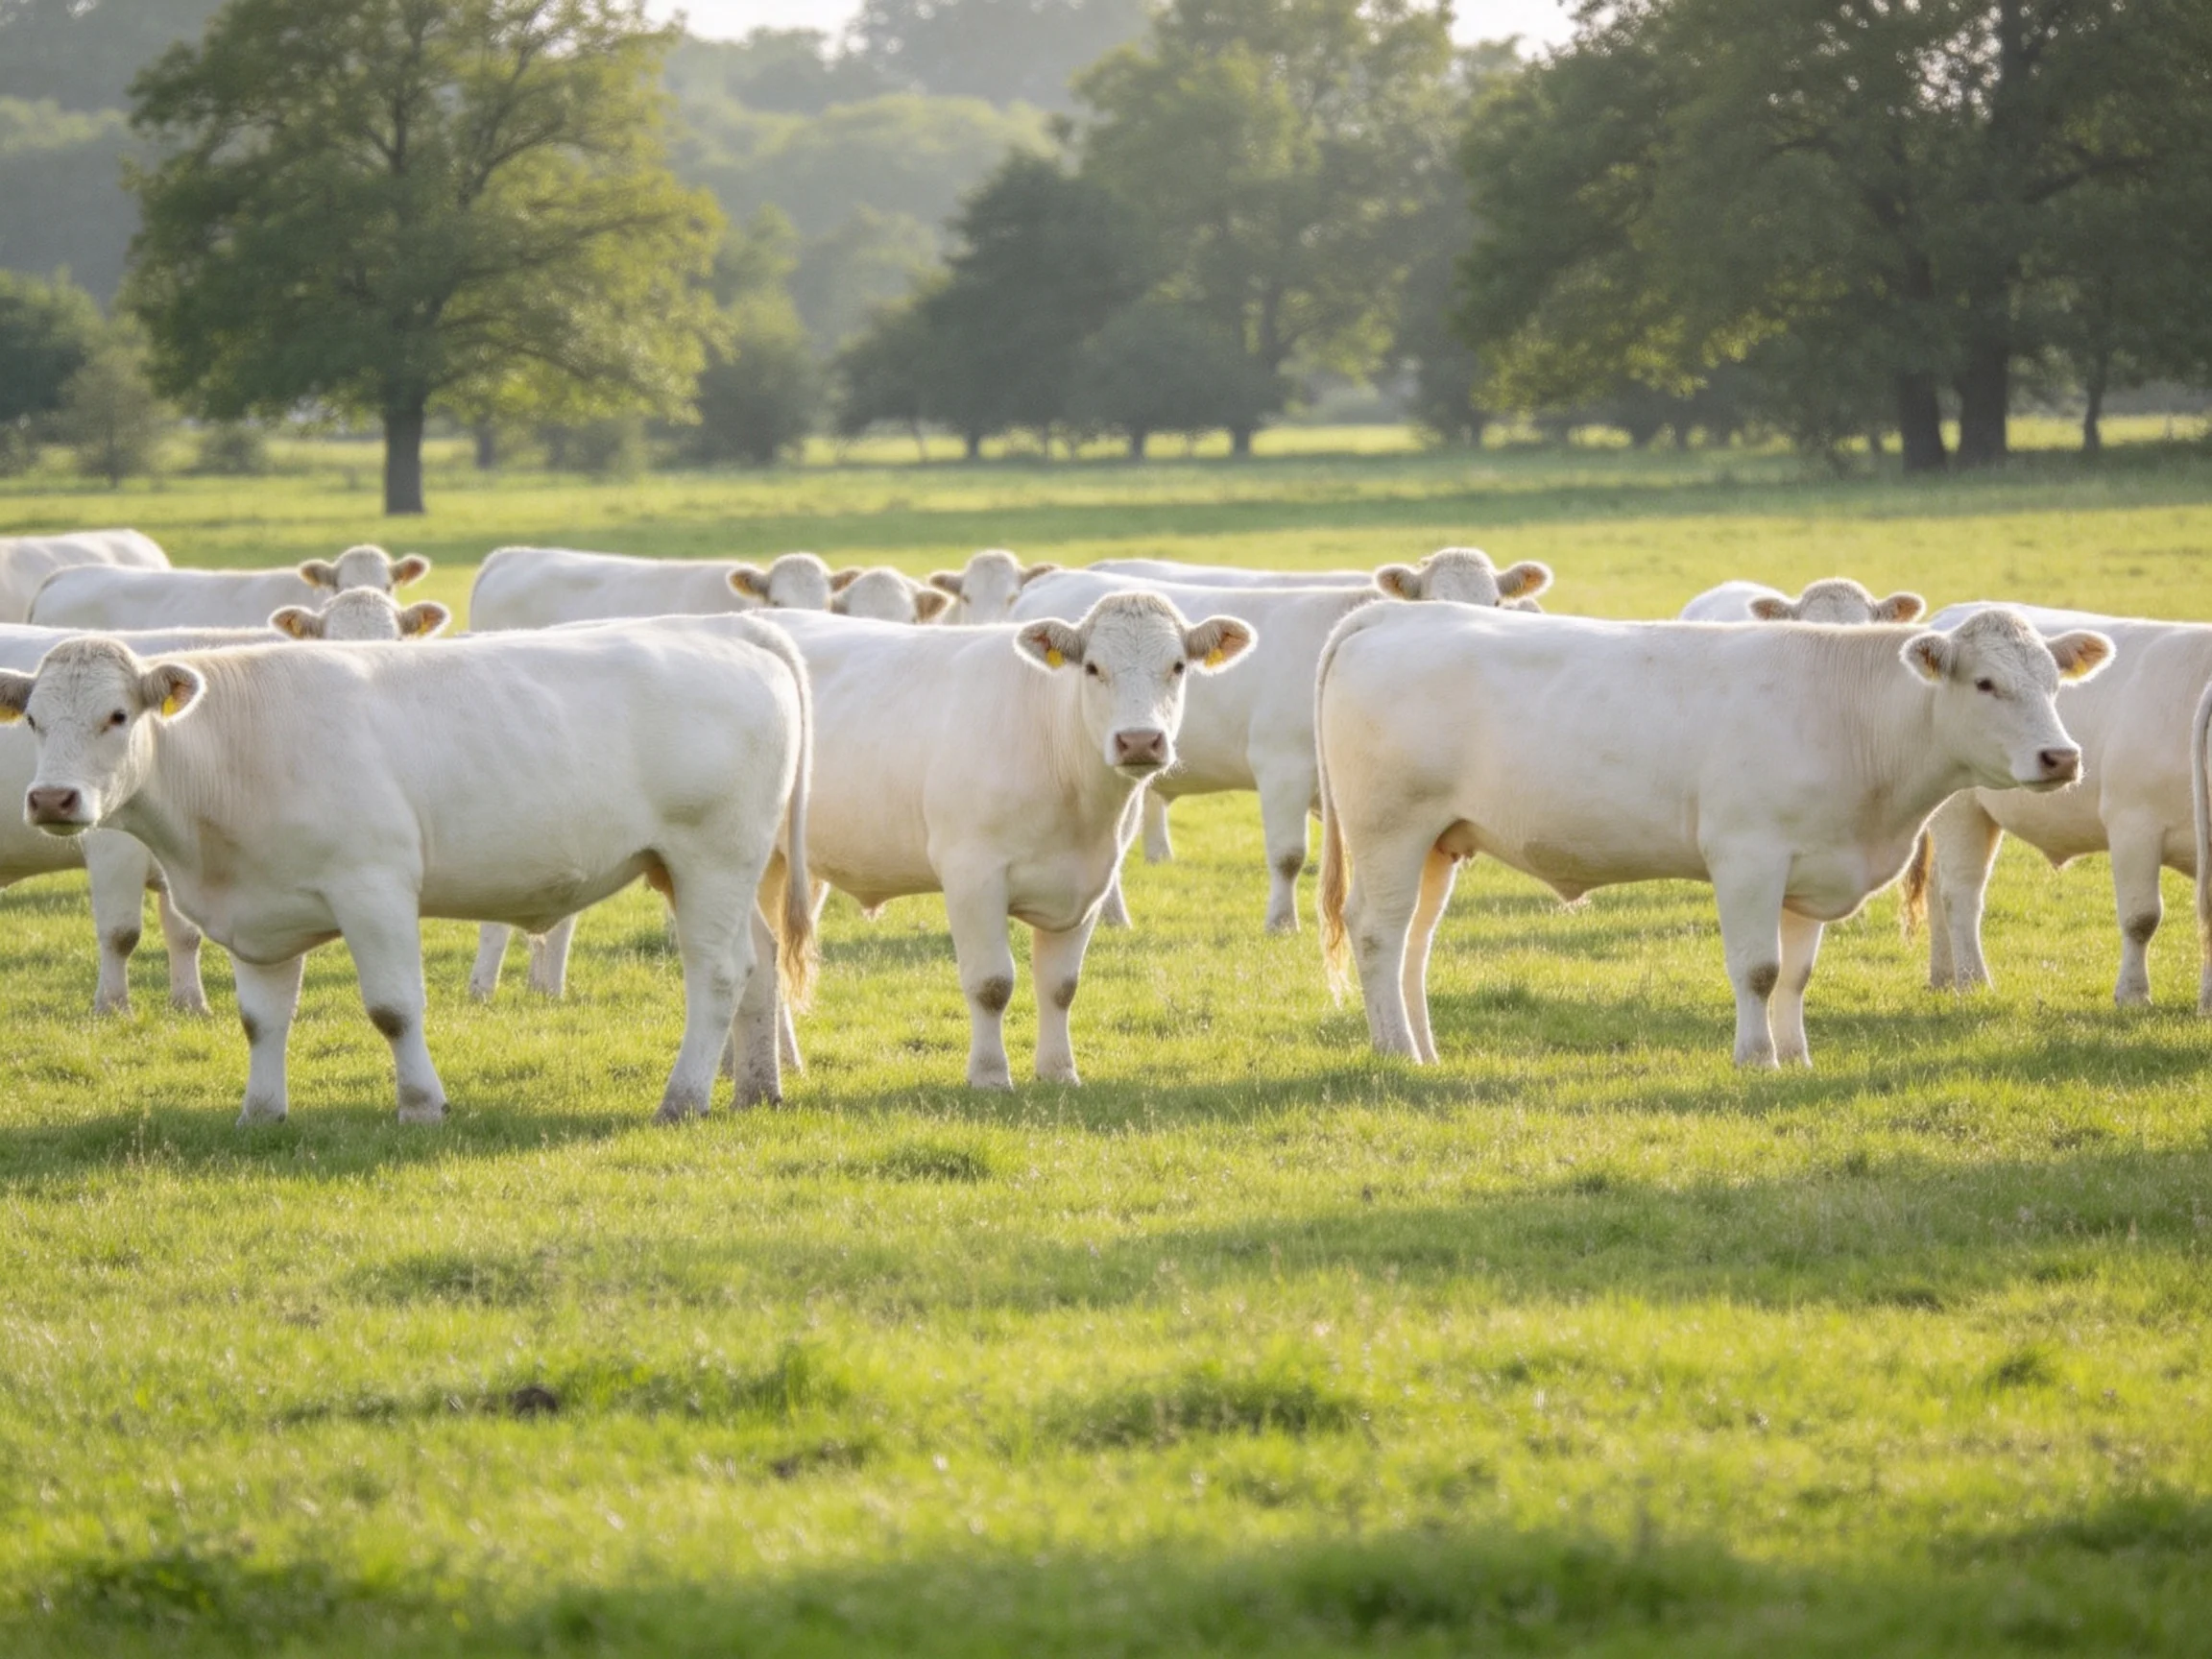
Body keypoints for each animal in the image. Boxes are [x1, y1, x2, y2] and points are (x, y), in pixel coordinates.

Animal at [0, 593, 456, 1017]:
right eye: (32, 720)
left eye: (396, 643)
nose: (50, 799)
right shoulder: (115, 845)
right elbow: (120, 932)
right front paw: (112, 1008)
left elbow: (184, 934)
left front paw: (189, 1002)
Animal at [763, 595, 1252, 1088]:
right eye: (1092, 667)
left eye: (1177, 666)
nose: (1138, 740)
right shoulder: (972, 874)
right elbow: (991, 983)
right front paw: (990, 1075)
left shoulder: (1090, 883)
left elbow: (1060, 986)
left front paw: (1059, 1071)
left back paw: (784, 1060)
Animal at [1314, 606, 2110, 1068]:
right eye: (1985, 684)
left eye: (2054, 681)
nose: (2062, 757)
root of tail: (1394, 616)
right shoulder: (1748, 856)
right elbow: (1757, 969)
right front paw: (1755, 1059)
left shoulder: (1810, 866)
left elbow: (1796, 974)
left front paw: (1797, 1059)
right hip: (1390, 829)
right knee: (1378, 934)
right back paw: (1396, 1052)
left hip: (1437, 843)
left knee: (1414, 943)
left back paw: (1423, 1047)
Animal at [1902, 604, 2212, 1010]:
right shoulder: (2133, 825)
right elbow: (2141, 916)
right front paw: (2133, 994)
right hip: (1960, 810)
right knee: (1960, 891)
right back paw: (1973, 981)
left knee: (1938, 885)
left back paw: (1943, 976)